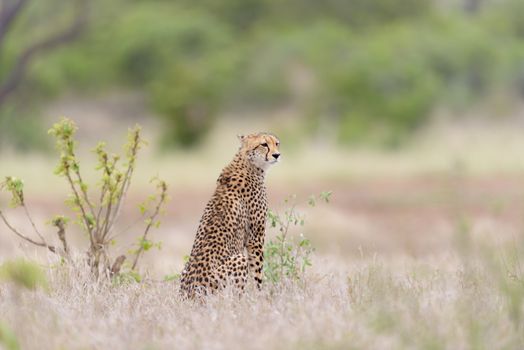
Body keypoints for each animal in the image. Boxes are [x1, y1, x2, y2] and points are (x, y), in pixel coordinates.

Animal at [180, 131, 280, 298]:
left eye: (277, 143)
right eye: (264, 144)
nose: (277, 155)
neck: (249, 163)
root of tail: (189, 295)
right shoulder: (255, 237)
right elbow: (257, 272)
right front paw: (260, 296)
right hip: (238, 260)